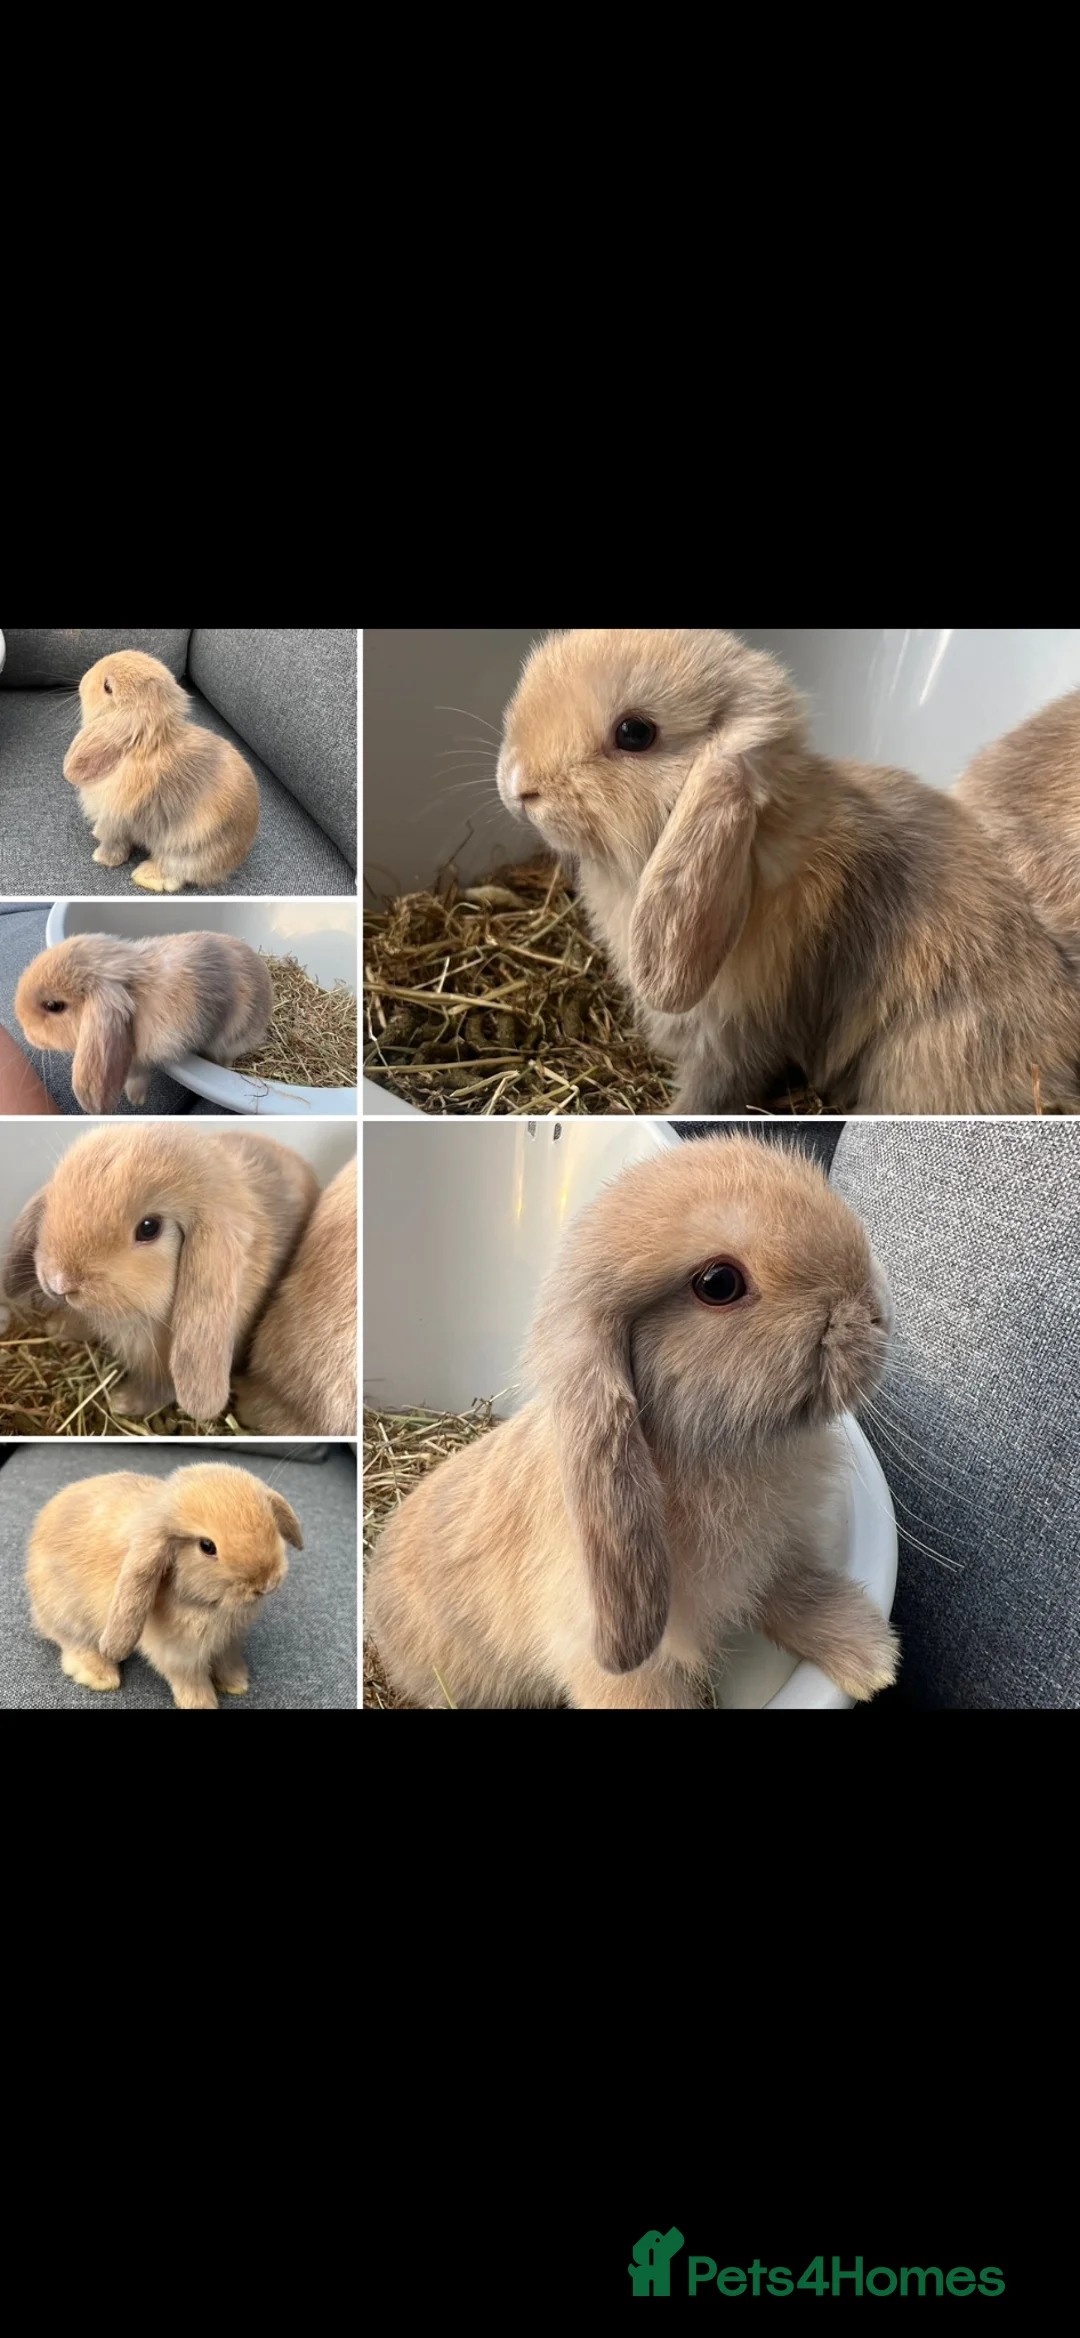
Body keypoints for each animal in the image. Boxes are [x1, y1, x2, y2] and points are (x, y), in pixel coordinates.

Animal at [26, 1463, 303, 1709]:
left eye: (271, 1525)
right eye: (207, 1546)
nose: (265, 1583)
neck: (209, 1606)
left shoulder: (229, 1642)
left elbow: (228, 1661)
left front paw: (236, 1683)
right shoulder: (179, 1654)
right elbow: (190, 1679)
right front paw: (200, 1703)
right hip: (68, 1613)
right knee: (71, 1641)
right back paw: (99, 1675)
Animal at [62, 650, 259, 891]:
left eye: (107, 687)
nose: (83, 681)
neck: (143, 746)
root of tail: (235, 858)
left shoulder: (117, 821)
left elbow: (114, 843)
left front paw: (102, 858)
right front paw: (96, 833)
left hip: (184, 849)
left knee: (175, 874)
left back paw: (146, 875)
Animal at [367, 1135, 900, 1711]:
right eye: (719, 1283)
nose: (876, 1313)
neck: (705, 1452)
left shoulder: (775, 1560)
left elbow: (796, 1593)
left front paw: (871, 1658)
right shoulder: (625, 1670)